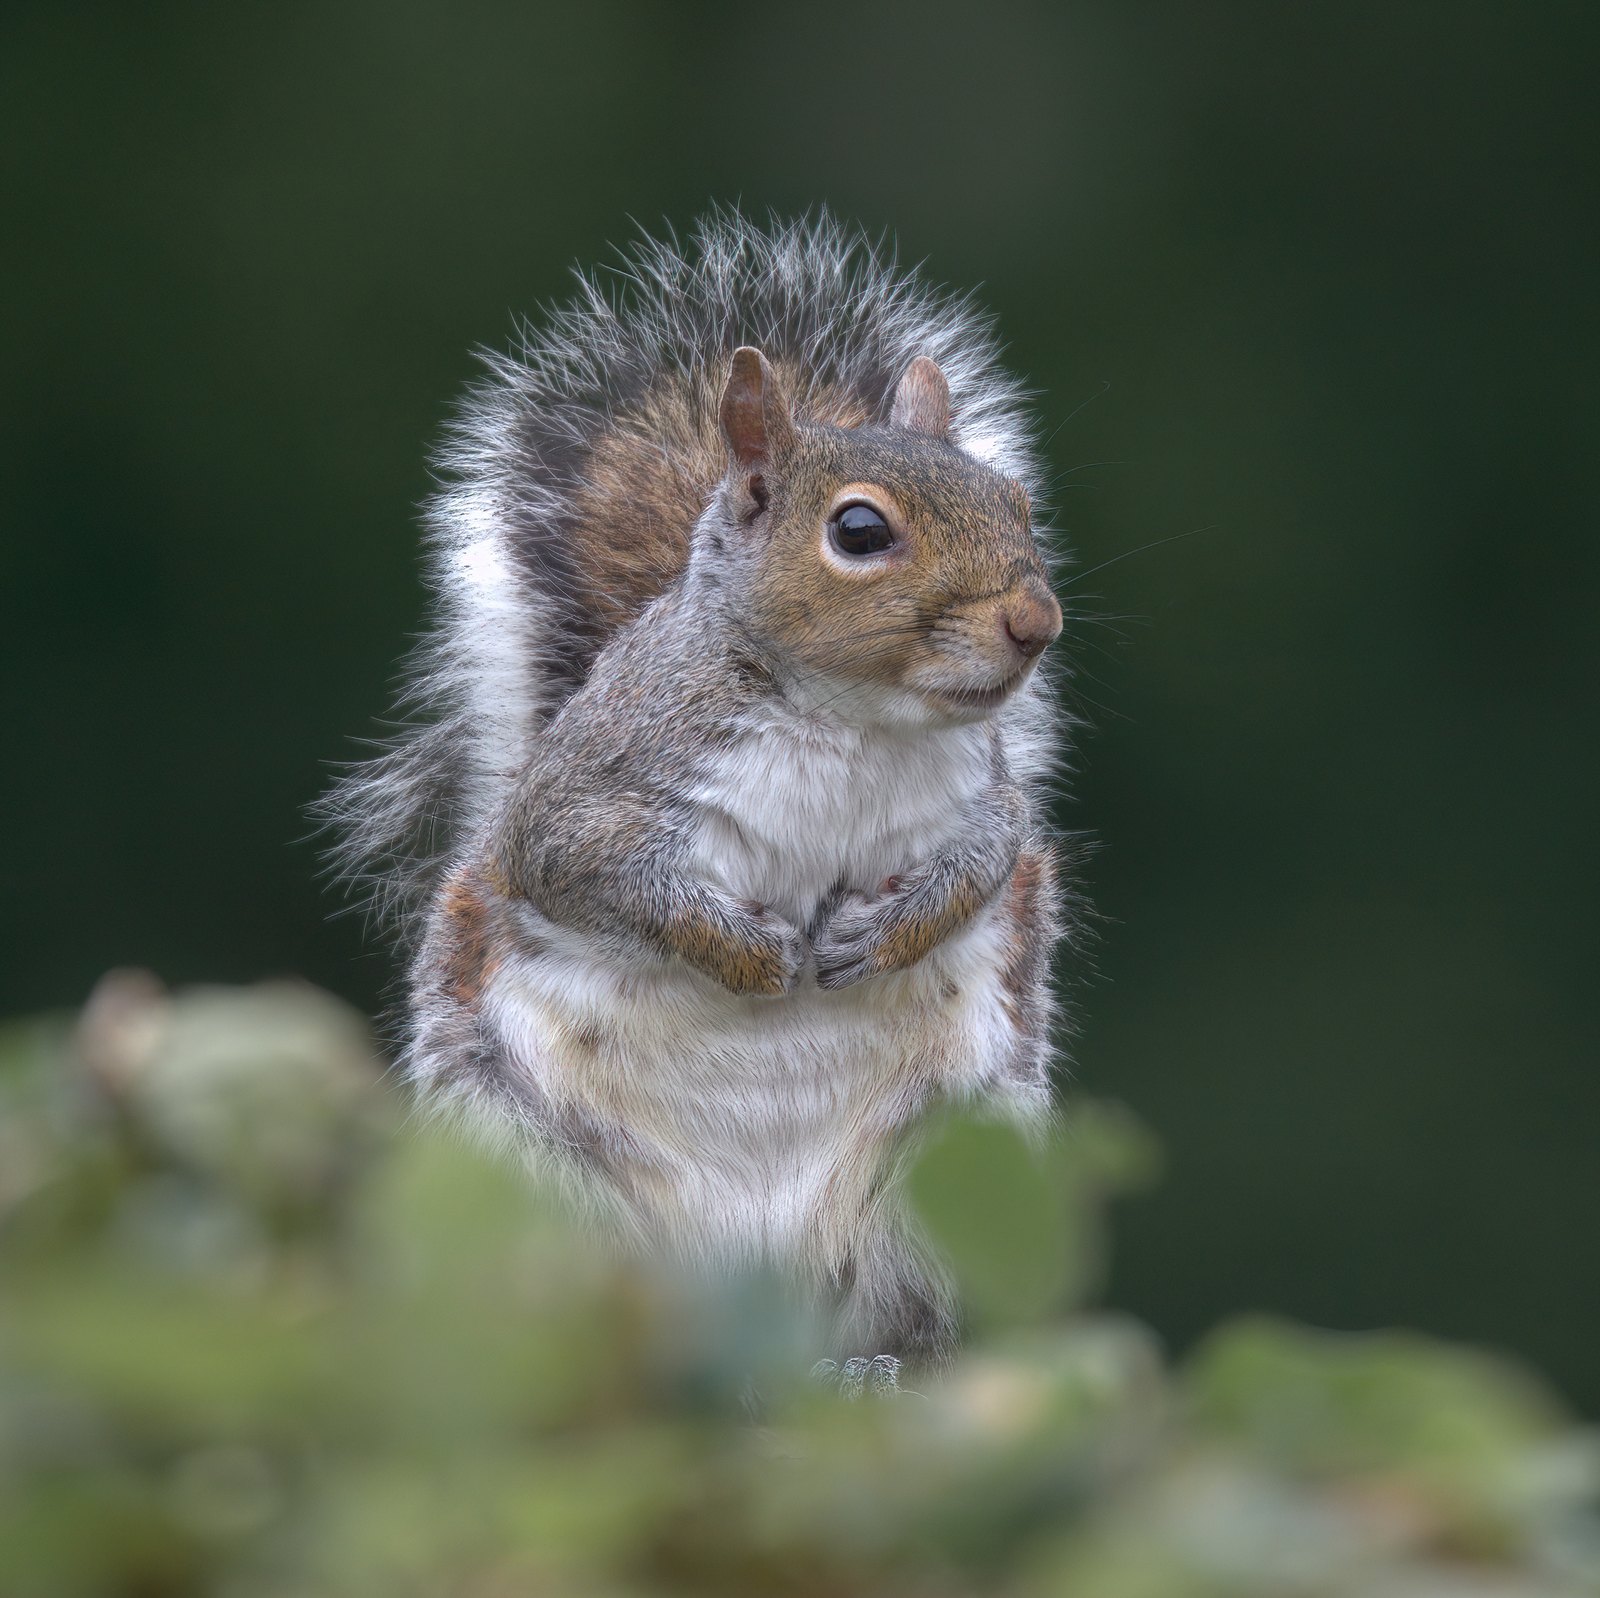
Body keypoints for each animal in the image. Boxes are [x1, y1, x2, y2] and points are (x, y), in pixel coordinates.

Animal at [320, 212, 1070, 1390]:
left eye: (1017, 505)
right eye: (860, 533)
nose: (1035, 622)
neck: (850, 720)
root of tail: (751, 1317)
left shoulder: (982, 801)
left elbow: (985, 864)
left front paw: (884, 929)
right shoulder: (583, 795)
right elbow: (586, 870)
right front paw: (746, 953)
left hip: (956, 1170)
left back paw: (876, 1365)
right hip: (523, 1179)